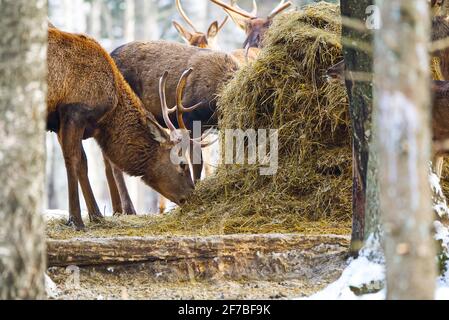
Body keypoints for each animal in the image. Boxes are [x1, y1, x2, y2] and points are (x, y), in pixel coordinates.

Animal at [46, 26, 195, 228]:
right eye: (182, 164)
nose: (192, 195)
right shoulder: (73, 111)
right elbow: (73, 160)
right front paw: (75, 220)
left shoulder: (59, 124)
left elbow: (83, 163)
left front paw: (96, 215)